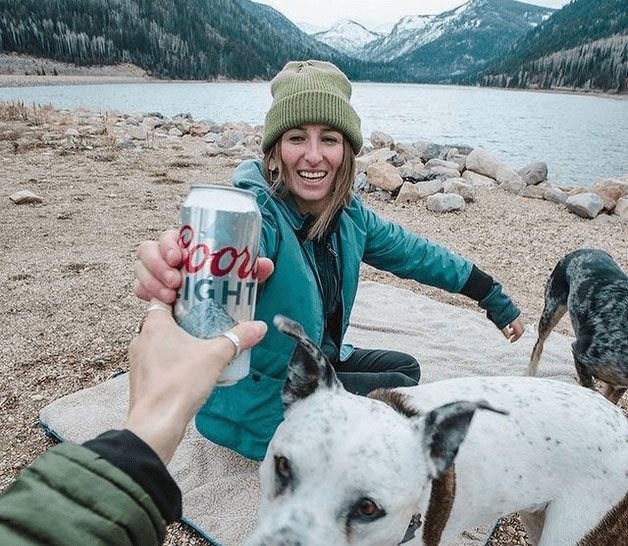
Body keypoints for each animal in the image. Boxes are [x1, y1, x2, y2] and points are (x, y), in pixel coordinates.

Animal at [524, 249, 628, 402]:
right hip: (552, 310)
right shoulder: (580, 354)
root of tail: (585, 249)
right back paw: (530, 372)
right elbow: (590, 390)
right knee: (539, 344)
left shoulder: (618, 385)